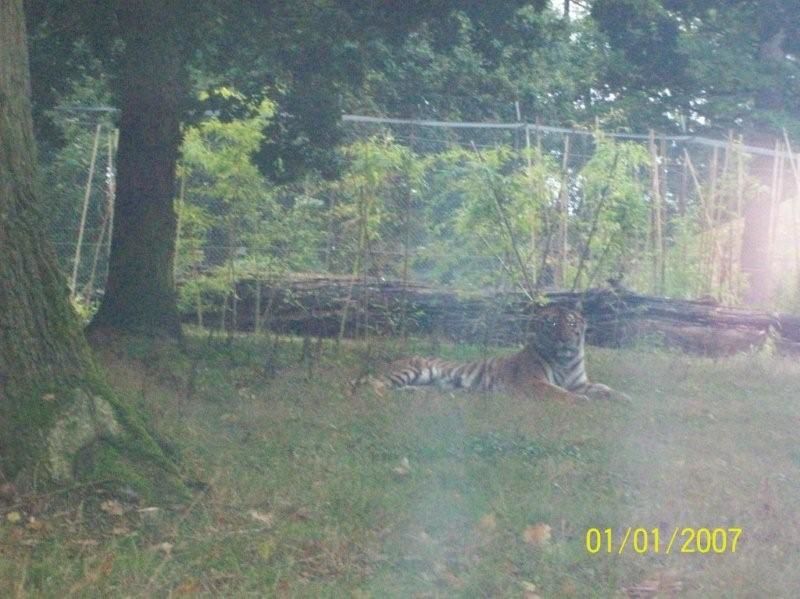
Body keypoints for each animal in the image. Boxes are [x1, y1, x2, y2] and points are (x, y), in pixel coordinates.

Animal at [372, 304, 628, 404]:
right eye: (553, 325)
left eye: (571, 323)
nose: (564, 339)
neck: (565, 360)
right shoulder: (533, 382)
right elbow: (558, 392)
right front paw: (580, 400)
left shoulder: (580, 383)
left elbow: (605, 388)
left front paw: (625, 397)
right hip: (413, 369)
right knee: (373, 384)